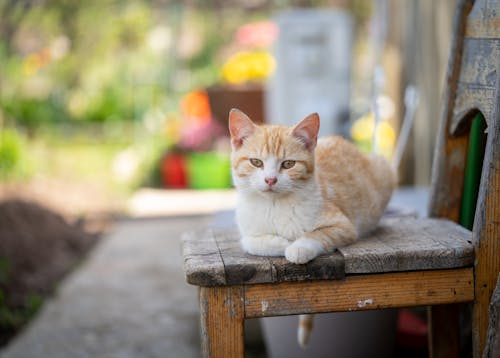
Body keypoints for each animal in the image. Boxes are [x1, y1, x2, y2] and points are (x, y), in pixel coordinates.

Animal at [229, 109, 396, 346]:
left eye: (288, 164)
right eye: (256, 162)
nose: (270, 180)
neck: (275, 205)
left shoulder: (344, 225)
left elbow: (317, 234)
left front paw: (298, 247)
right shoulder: (247, 228)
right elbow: (250, 242)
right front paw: (282, 243)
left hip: (384, 170)